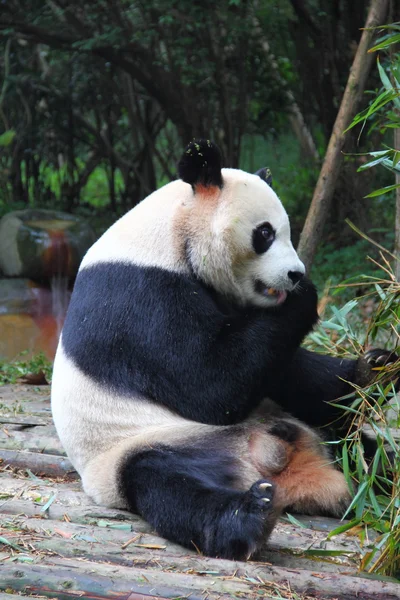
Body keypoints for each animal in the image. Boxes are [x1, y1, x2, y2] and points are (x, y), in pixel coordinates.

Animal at [52, 138, 396, 560]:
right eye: (264, 233)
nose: (294, 273)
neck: (171, 234)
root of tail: (272, 460)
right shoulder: (137, 296)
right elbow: (209, 384)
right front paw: (304, 294)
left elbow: (275, 366)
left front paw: (368, 371)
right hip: (143, 447)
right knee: (170, 487)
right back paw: (249, 516)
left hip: (321, 437)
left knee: (364, 453)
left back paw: (374, 382)